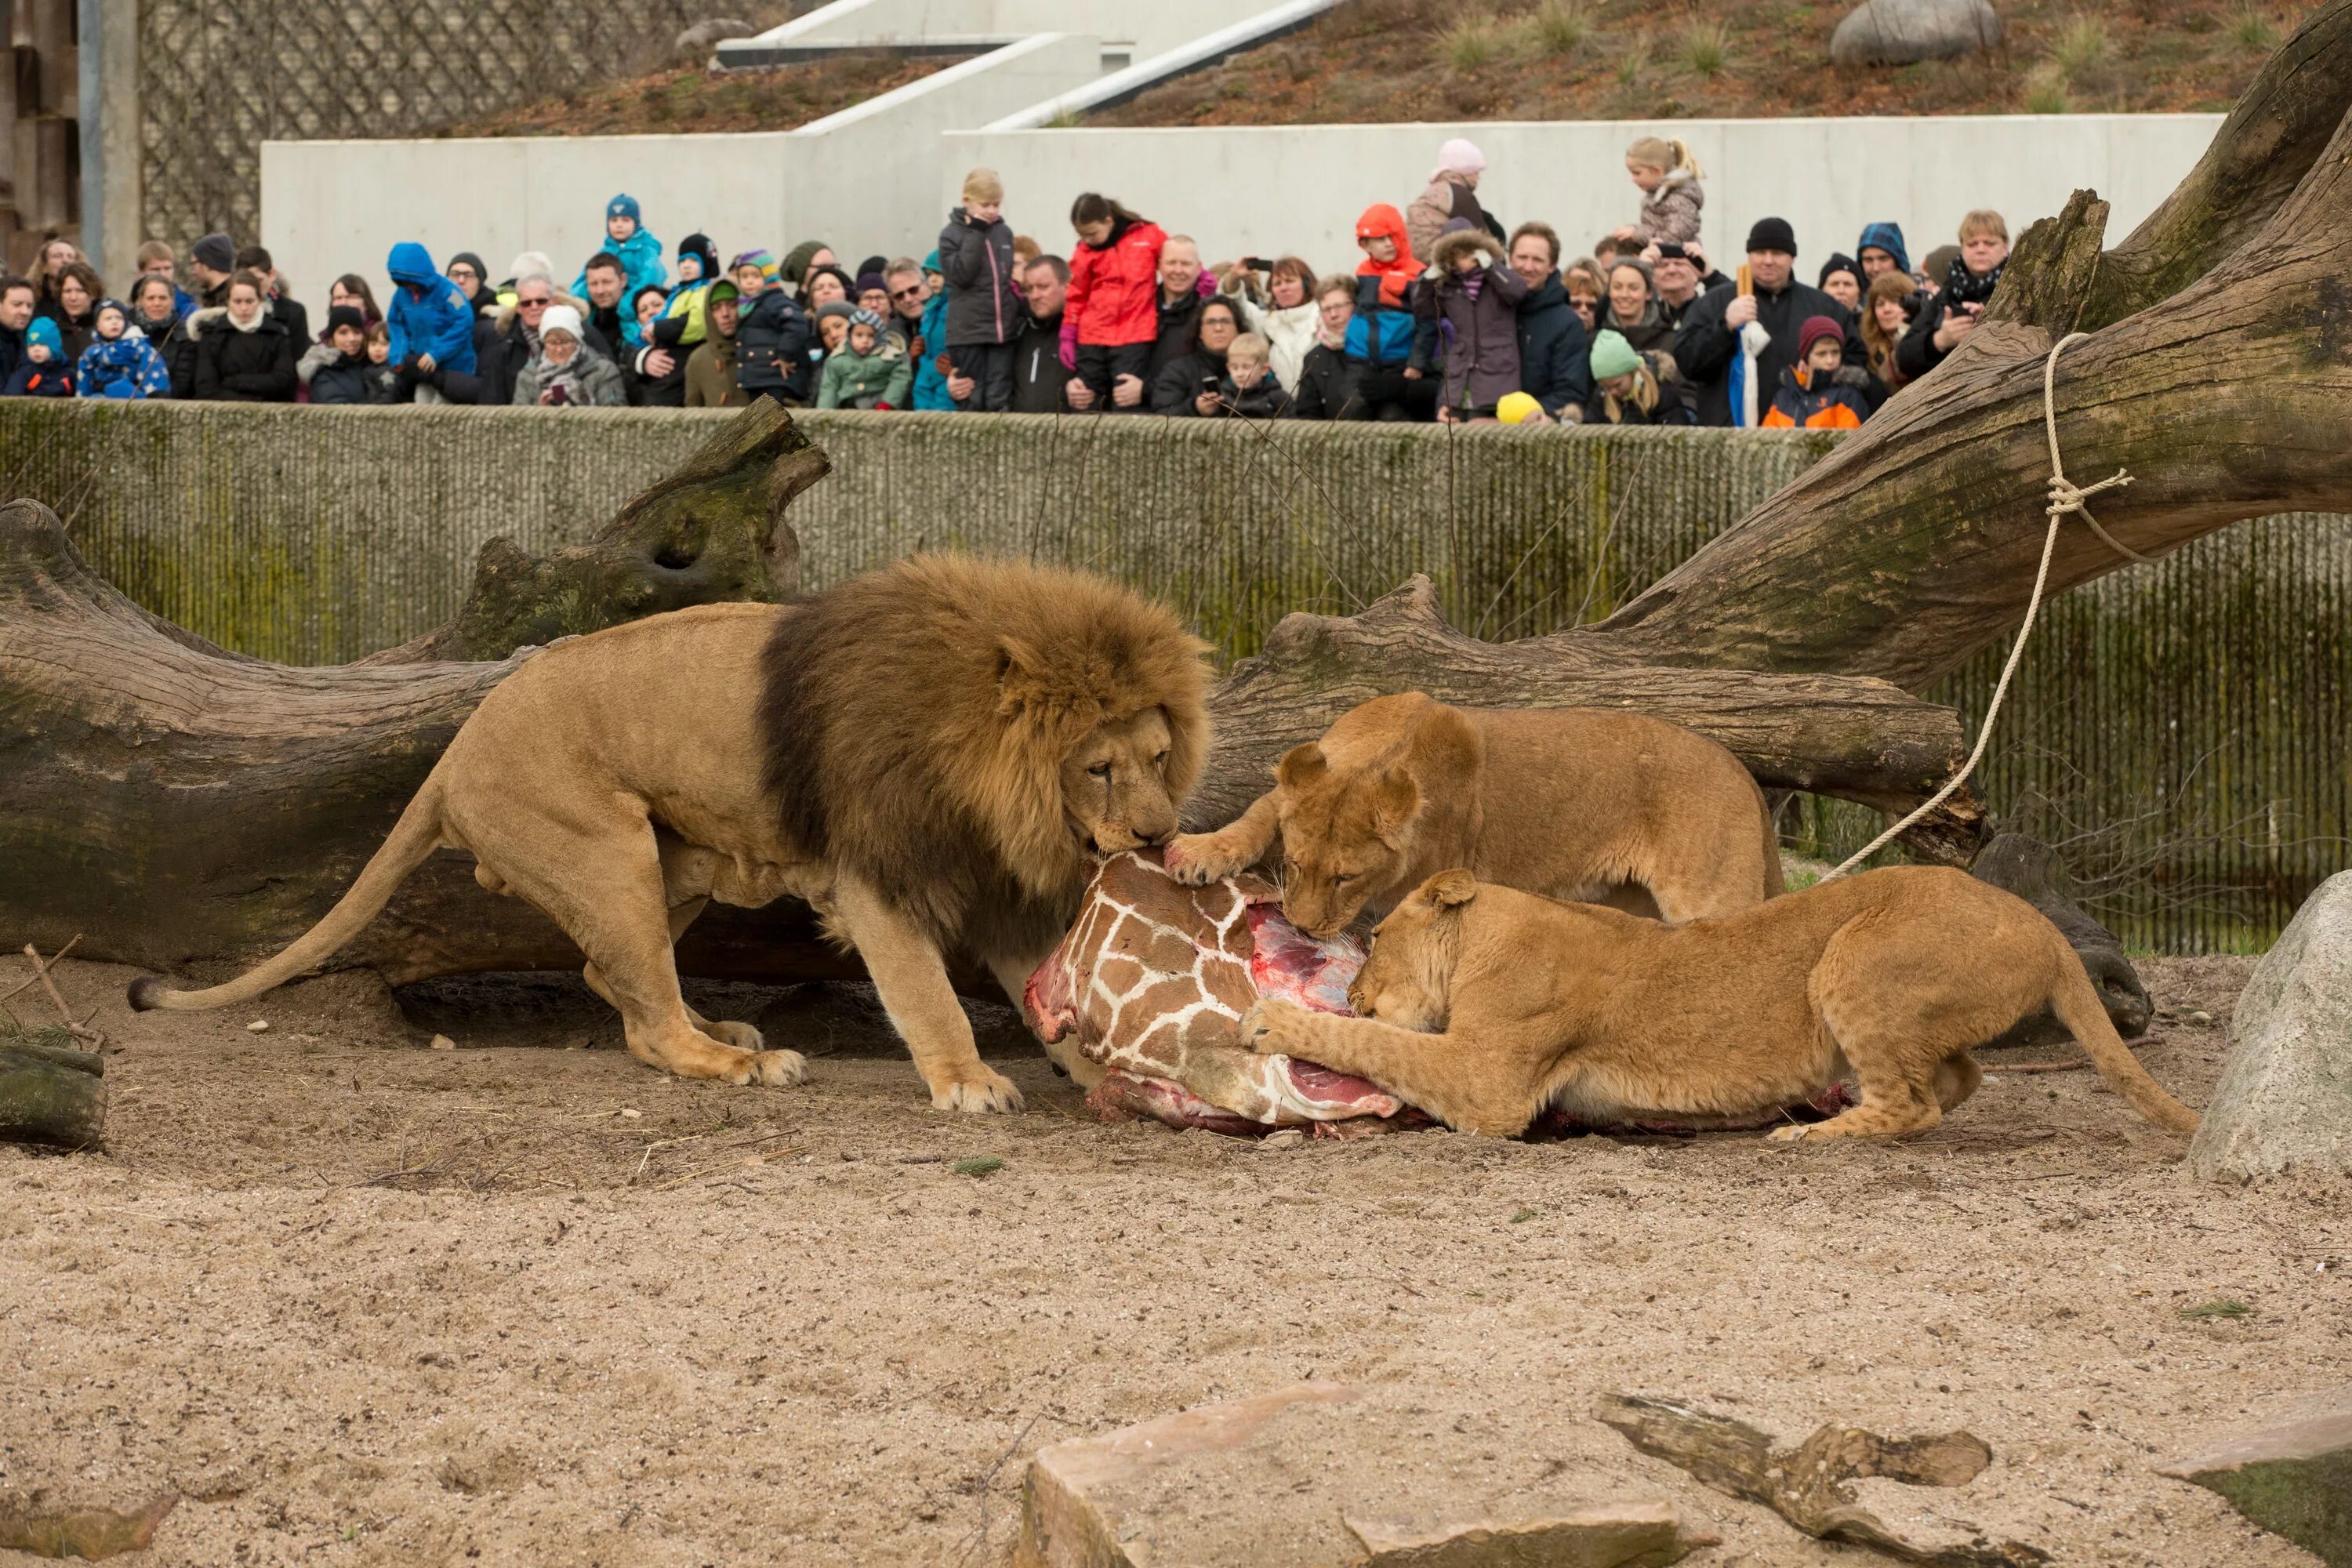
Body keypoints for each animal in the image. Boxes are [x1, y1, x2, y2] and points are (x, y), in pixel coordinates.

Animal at [133, 557, 1214, 1109]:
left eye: (1161, 756)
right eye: (1099, 767)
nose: (1158, 837)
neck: (999, 782)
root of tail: (454, 750)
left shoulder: (991, 880)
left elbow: (1047, 989)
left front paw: (1101, 1069)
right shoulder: (881, 877)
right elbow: (928, 995)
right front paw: (969, 1081)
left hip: (674, 863)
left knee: (611, 978)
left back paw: (721, 1026)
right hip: (605, 847)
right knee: (646, 1025)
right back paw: (742, 1062)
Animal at [1167, 695, 1788, 940]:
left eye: (1347, 878)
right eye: (1294, 865)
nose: (1298, 928)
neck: (1382, 756)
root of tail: (1742, 771)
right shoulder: (1297, 784)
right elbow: (1254, 817)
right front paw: (1197, 853)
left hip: (1709, 895)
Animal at [1251, 869, 2201, 1142]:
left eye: (1376, 939)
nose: (1355, 983)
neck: (1494, 930)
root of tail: (2038, 921)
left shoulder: (1491, 1083)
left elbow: (1379, 1043)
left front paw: (1275, 1019)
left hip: (1847, 962)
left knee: (1916, 1104)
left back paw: (1813, 1135)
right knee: (1955, 1078)